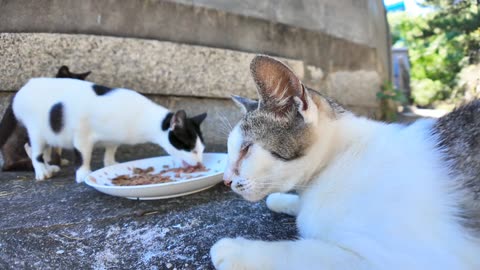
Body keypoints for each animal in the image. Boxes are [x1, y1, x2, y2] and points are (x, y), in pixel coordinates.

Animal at [3, 75, 206, 181]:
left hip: (49, 133)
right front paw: (83, 174)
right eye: (191, 149)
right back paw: (41, 171)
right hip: (37, 129)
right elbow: (83, 155)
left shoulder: (114, 136)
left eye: (201, 150)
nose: (200, 163)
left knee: (34, 148)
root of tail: (22, 88)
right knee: (35, 149)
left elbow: (111, 148)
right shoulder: (82, 134)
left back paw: (49, 167)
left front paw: (111, 163)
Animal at [210, 55, 480, 270]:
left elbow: (303, 254)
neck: (338, 159)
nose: (226, 180)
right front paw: (282, 200)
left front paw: (233, 250)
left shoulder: (399, 257)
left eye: (246, 149)